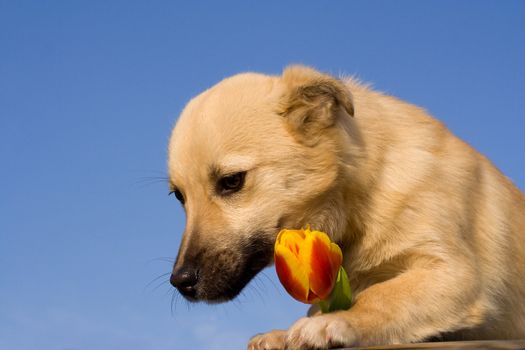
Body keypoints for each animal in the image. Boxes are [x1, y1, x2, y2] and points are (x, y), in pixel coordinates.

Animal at [167, 66, 524, 350]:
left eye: (231, 181)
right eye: (179, 196)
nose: (180, 282)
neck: (364, 195)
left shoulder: (455, 271)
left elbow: (383, 295)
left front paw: (339, 321)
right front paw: (285, 333)